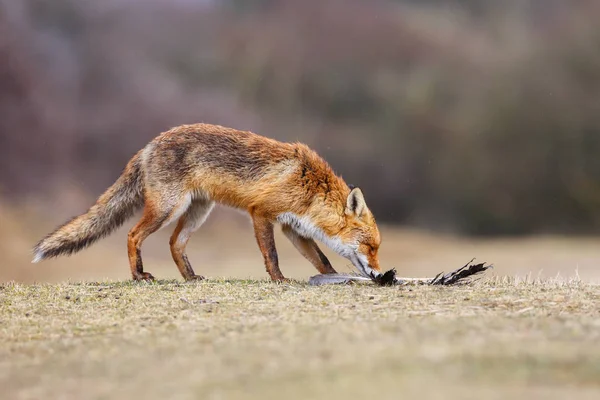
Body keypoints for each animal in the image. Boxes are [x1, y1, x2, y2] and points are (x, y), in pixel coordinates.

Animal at [31, 123, 380, 282]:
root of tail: (149, 145)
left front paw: (331, 276)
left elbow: (321, 259)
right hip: (167, 208)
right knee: (132, 235)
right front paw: (279, 280)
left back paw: (190, 278)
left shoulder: (292, 227)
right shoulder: (261, 213)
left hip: (197, 211)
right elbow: (271, 255)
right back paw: (139, 276)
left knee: (175, 243)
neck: (312, 187)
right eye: (371, 247)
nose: (378, 274)